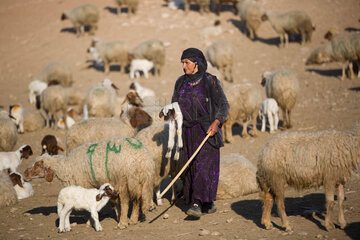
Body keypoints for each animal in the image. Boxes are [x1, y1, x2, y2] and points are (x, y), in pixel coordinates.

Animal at [23, 136, 155, 230]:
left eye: (37, 165)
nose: (24, 173)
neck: (66, 167)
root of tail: (144, 160)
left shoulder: (86, 185)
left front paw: (90, 222)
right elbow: (112, 203)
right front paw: (116, 216)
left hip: (123, 179)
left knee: (126, 201)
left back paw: (122, 224)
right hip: (135, 181)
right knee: (137, 200)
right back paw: (132, 219)